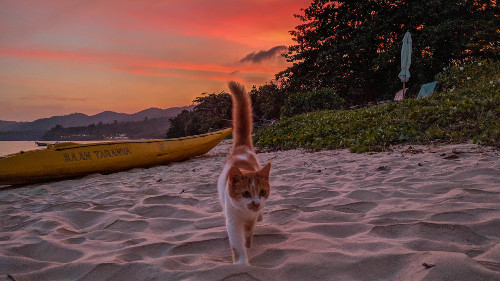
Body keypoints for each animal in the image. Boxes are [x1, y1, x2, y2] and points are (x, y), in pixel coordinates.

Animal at [218, 80, 272, 262]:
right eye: (245, 193)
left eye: (262, 192)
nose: (255, 203)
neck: (244, 213)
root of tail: (241, 147)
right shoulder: (233, 221)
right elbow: (236, 243)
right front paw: (241, 262)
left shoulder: (250, 219)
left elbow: (248, 233)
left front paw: (248, 245)